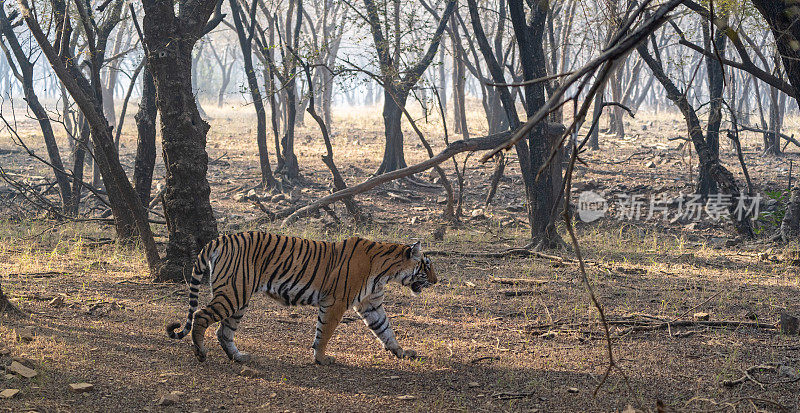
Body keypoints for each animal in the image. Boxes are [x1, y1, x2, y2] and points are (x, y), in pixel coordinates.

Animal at [165, 232, 434, 364]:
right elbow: (324, 333)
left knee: (224, 331)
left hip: (238, 297)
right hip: (233, 293)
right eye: (427, 266)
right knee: (200, 315)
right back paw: (200, 353)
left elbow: (386, 329)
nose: (438, 280)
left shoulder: (371, 305)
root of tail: (221, 238)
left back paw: (239, 358)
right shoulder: (335, 302)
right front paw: (322, 359)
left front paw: (401, 352)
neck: (386, 272)